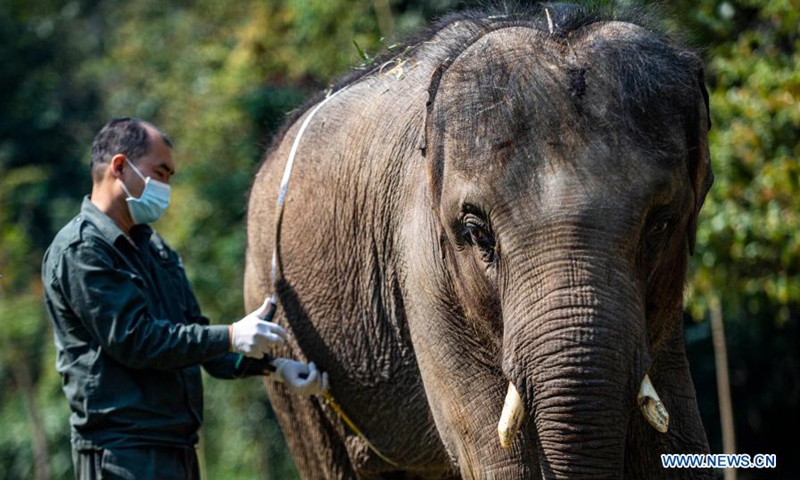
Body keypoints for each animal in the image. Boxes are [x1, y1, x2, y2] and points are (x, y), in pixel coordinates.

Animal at [245, 4, 714, 479]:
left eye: (661, 224)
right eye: (476, 232)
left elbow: (677, 438)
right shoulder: (423, 273)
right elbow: (498, 457)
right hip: (282, 330)